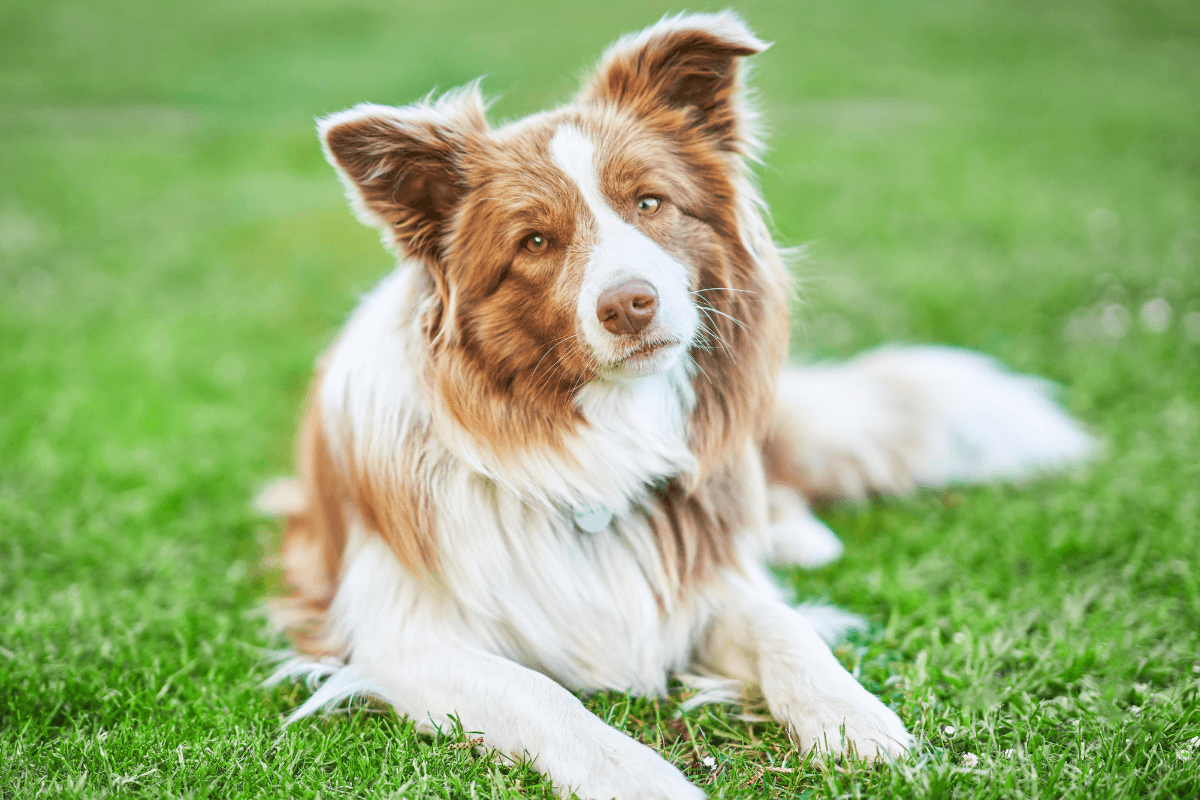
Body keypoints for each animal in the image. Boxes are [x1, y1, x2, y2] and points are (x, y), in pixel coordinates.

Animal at [258, 10, 1094, 796]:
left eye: (651, 202)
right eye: (535, 242)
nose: (630, 304)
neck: (600, 439)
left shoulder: (705, 580)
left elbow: (784, 627)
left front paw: (853, 719)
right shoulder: (404, 640)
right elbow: (543, 697)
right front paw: (637, 775)